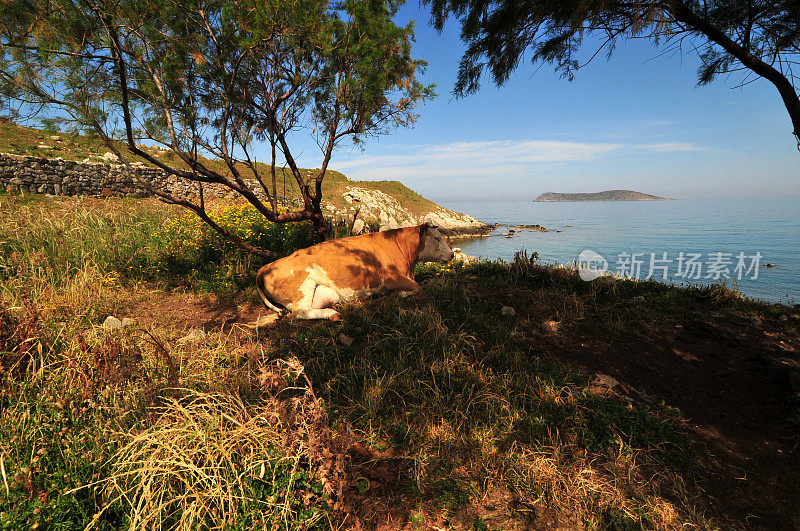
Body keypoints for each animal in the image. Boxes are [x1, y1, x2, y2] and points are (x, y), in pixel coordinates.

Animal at [258, 221, 456, 318]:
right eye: (437, 238)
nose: (452, 255)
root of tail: (266, 267)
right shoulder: (390, 278)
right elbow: (416, 286)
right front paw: (400, 294)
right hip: (303, 284)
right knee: (299, 312)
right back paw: (332, 314)